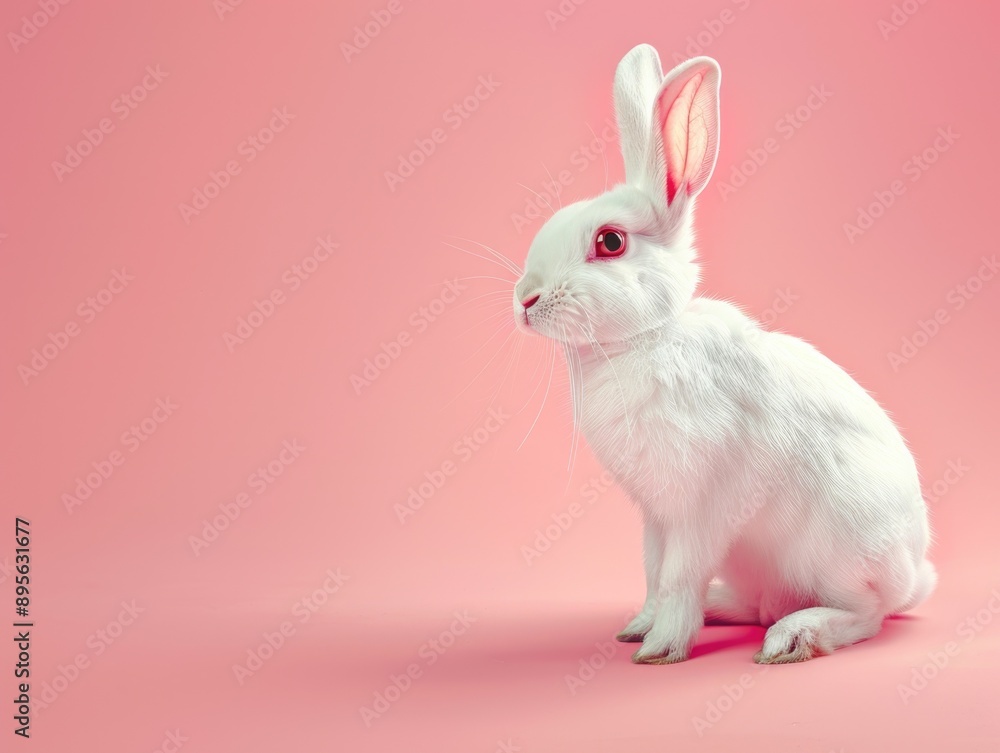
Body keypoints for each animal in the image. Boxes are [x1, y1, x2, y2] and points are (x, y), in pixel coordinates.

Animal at [511, 44, 936, 664]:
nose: (525, 300)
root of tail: (914, 572)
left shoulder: (704, 505)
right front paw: (639, 627)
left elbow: (678, 574)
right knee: (761, 605)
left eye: (610, 242)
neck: (644, 339)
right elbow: (654, 571)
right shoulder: (656, 515)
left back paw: (794, 638)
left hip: (839, 547)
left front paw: (660, 648)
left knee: (867, 614)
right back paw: (723, 610)